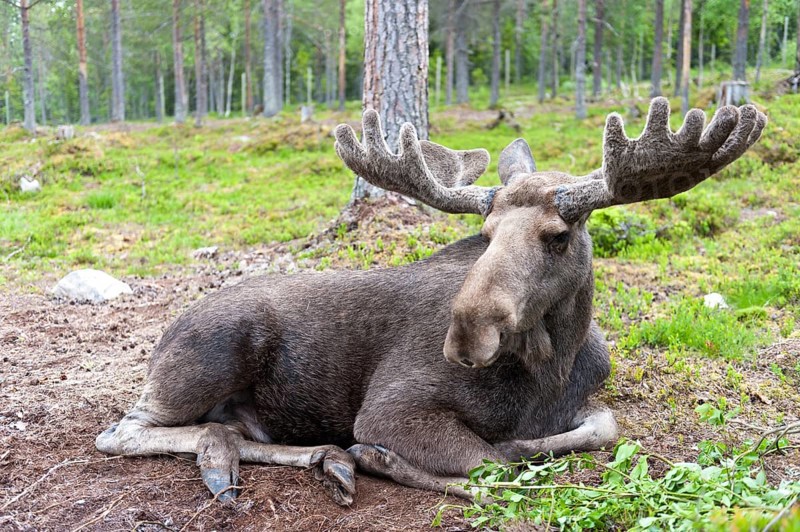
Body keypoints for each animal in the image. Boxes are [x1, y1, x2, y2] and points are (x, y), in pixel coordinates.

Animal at [96, 98, 766, 505]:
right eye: (485, 234)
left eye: (558, 235)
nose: (466, 334)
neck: (550, 368)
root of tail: (166, 335)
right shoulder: (390, 409)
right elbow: (490, 467)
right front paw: (376, 457)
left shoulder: (587, 407)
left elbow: (599, 426)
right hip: (208, 358)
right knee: (120, 432)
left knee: (223, 430)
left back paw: (300, 454)